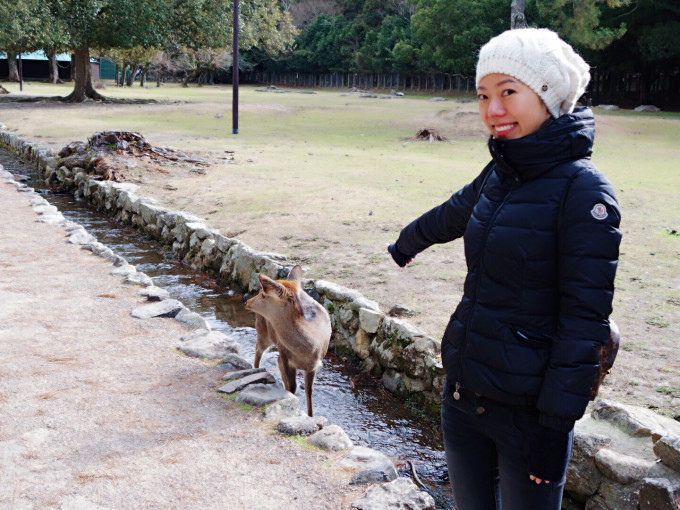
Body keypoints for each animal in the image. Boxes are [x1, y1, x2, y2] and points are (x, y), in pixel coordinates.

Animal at [244, 265, 331, 417]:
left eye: (263, 295)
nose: (247, 302)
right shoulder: (286, 356)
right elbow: (292, 387)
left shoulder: (314, 365)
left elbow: (309, 392)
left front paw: (310, 416)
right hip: (263, 331)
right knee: (258, 350)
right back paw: (256, 371)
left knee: (275, 359)